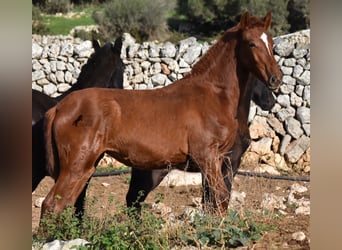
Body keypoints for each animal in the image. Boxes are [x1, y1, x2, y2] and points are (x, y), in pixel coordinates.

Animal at [42, 12, 280, 219]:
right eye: (251, 43)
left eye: (271, 44)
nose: (275, 79)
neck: (212, 95)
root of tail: (59, 108)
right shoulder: (209, 157)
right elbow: (219, 199)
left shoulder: (219, 162)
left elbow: (212, 202)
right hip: (77, 166)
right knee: (52, 204)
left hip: (87, 166)